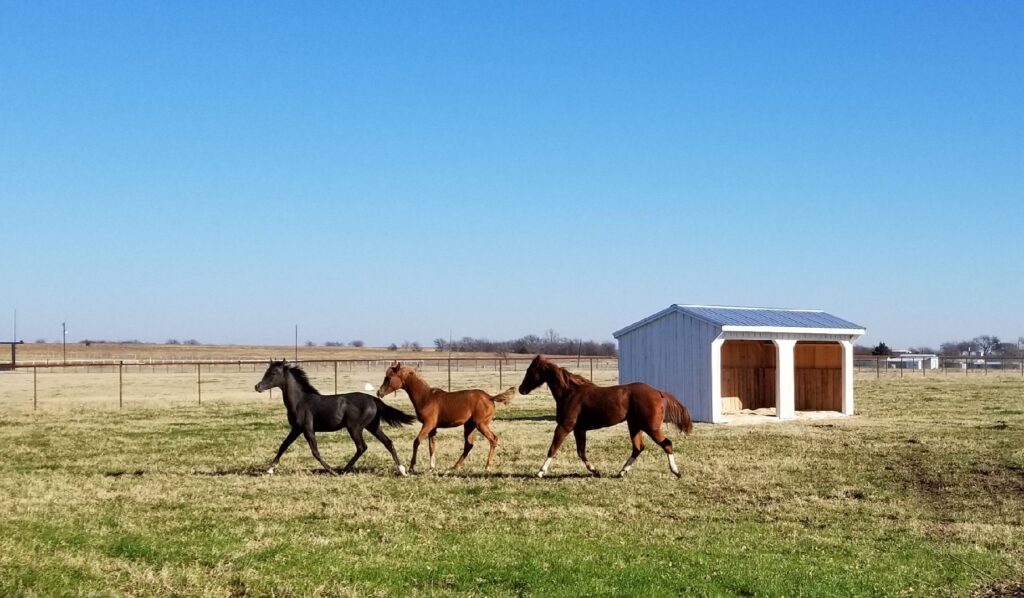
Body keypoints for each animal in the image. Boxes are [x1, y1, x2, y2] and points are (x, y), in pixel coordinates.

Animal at [256, 360, 415, 477]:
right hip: (373, 427)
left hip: (354, 428)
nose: (257, 386)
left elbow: (315, 451)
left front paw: (331, 470)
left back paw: (343, 470)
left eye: (273, 373)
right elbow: (283, 445)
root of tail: (373, 399)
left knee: (362, 447)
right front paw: (269, 469)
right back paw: (402, 470)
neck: (300, 401)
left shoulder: (308, 429)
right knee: (388, 443)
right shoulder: (296, 429)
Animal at [376, 364, 516, 471]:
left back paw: (487, 466)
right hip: (469, 425)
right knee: (469, 445)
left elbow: (417, 441)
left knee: (493, 439)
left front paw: (412, 467)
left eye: (388, 377)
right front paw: (432, 467)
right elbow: (431, 446)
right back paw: (455, 466)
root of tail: (490, 397)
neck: (426, 398)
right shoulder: (433, 428)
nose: (379, 392)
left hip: (480, 424)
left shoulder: (428, 424)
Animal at [516, 354, 692, 477]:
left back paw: (676, 472)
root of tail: (658, 392)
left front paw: (540, 472)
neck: (570, 393)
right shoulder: (579, 429)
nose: (521, 389)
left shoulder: (565, 426)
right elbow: (581, 452)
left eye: (530, 371)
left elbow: (553, 448)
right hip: (634, 425)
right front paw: (596, 471)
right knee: (638, 447)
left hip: (650, 427)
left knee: (666, 444)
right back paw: (621, 472)